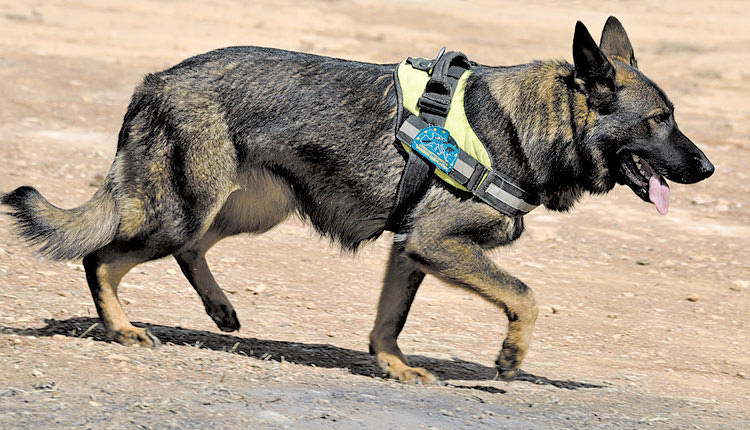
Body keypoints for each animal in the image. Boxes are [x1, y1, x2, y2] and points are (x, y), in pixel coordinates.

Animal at [1, 17, 716, 382]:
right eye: (658, 121)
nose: (708, 167)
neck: (531, 123)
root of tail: (154, 80)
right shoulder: (436, 244)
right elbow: (526, 295)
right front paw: (510, 356)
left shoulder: (412, 251)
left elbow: (388, 321)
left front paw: (393, 367)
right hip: (183, 210)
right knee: (102, 259)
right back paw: (122, 328)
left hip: (245, 210)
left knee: (188, 252)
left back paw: (220, 309)